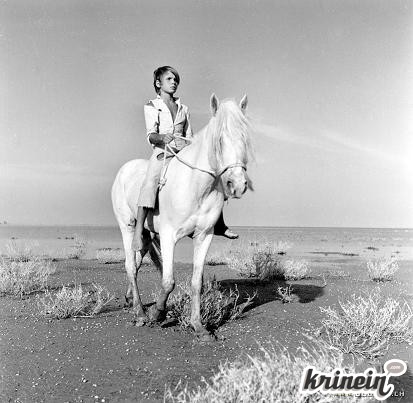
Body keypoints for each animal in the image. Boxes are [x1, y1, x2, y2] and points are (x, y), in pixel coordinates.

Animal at [111, 94, 253, 340]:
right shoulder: (169, 236)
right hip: (127, 227)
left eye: (244, 139)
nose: (237, 185)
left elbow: (197, 282)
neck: (196, 185)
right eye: (219, 141)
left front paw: (199, 327)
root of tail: (124, 170)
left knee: (136, 264)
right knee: (130, 265)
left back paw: (131, 300)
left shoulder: (204, 236)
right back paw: (140, 313)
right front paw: (158, 313)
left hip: (146, 234)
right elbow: (168, 281)